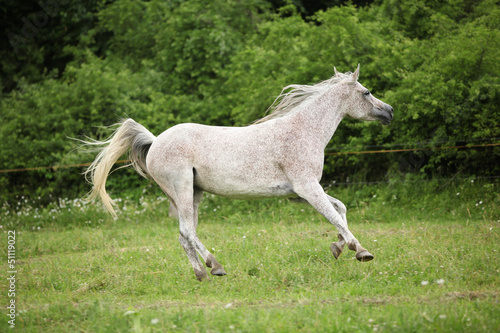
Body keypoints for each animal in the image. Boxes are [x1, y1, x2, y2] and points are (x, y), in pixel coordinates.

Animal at [83, 65, 394, 280]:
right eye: (366, 92)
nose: (390, 111)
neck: (303, 131)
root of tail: (156, 141)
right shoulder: (307, 187)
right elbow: (336, 217)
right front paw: (360, 250)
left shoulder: (301, 192)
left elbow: (340, 209)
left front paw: (338, 247)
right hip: (182, 189)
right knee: (187, 231)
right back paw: (215, 266)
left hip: (192, 193)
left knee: (185, 235)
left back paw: (202, 274)